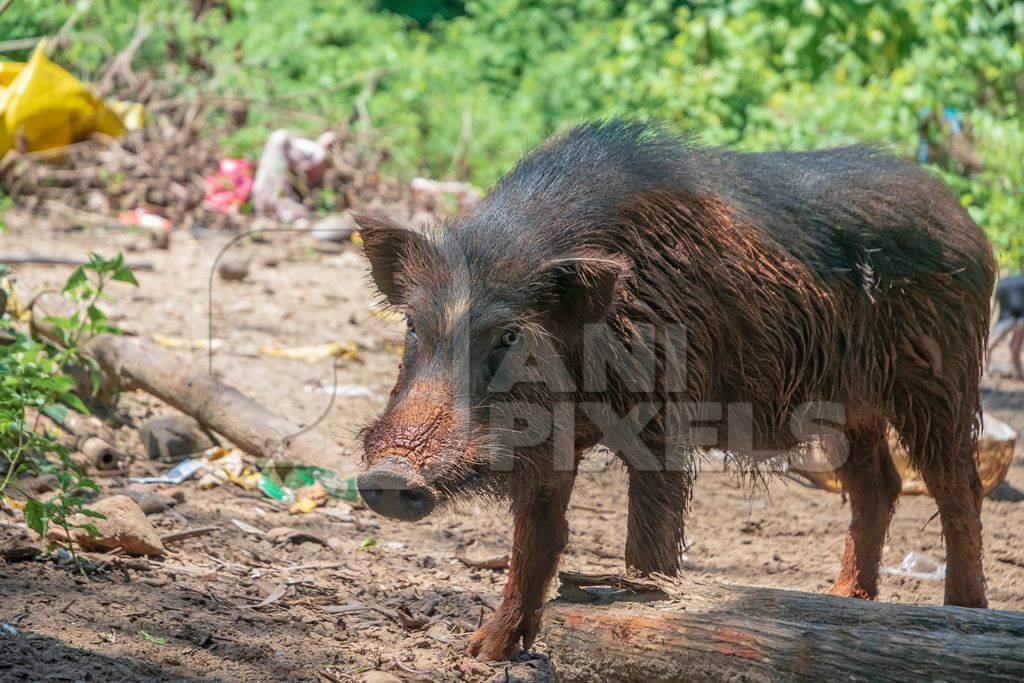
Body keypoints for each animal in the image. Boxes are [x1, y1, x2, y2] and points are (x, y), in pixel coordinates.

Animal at [356, 120, 995, 659]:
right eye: (413, 324)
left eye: (510, 333)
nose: (390, 475)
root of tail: (968, 224)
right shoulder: (550, 439)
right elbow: (536, 538)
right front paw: (484, 652)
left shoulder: (662, 418)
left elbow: (647, 541)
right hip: (852, 404)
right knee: (877, 485)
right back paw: (843, 600)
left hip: (939, 379)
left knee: (956, 487)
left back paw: (966, 614)